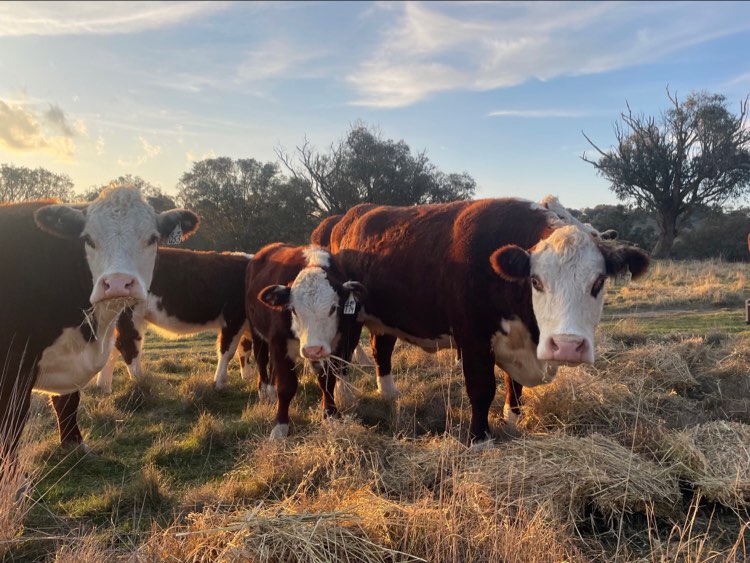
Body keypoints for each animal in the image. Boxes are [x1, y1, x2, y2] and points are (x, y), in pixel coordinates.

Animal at [0, 186, 200, 462]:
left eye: (152, 238)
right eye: (88, 239)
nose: (117, 283)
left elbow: (68, 401)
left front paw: (74, 444)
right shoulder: (14, 367)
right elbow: (12, 425)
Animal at [95, 249, 256, 394]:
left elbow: (245, 350)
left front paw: (247, 378)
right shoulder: (233, 319)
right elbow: (227, 351)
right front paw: (219, 383)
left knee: (112, 346)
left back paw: (104, 387)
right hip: (129, 314)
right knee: (128, 345)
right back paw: (141, 382)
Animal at [245, 242, 366, 440]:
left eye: (334, 308)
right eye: (293, 309)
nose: (312, 349)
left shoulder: (335, 346)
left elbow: (327, 382)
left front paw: (330, 416)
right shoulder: (279, 342)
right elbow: (286, 386)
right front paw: (280, 427)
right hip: (257, 332)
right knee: (262, 361)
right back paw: (265, 393)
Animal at [328, 196, 652, 442]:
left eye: (598, 282)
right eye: (536, 281)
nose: (568, 346)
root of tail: (350, 216)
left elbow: (515, 389)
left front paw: (512, 423)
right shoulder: (473, 339)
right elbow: (482, 390)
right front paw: (480, 439)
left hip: (386, 318)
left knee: (381, 350)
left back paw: (389, 394)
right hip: (350, 317)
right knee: (340, 358)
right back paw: (345, 398)